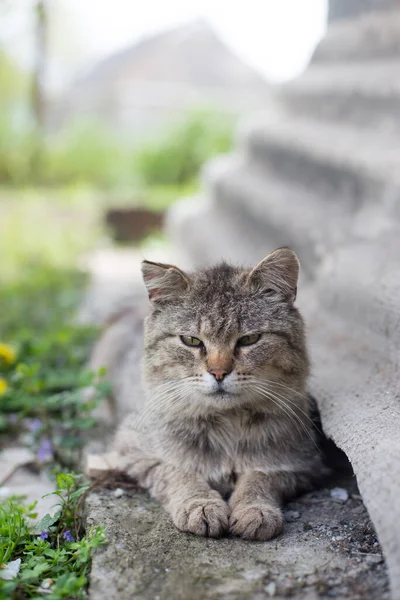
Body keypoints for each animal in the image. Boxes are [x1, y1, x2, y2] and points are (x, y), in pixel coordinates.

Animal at [94, 247, 328, 540]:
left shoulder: (302, 463)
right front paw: (201, 505)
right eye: (192, 341)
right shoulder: (136, 450)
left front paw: (254, 509)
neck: (228, 422)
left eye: (249, 339)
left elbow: (261, 476)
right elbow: (179, 473)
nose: (219, 372)